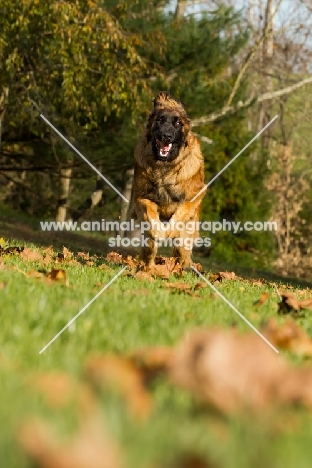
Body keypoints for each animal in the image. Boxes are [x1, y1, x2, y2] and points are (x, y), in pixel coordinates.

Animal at [128, 91, 206, 268]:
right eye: (160, 120)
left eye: (177, 123)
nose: (166, 136)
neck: (165, 167)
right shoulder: (141, 197)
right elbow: (150, 214)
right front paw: (158, 231)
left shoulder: (194, 196)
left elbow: (180, 213)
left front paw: (169, 231)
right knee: (149, 248)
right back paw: (148, 266)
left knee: (182, 253)